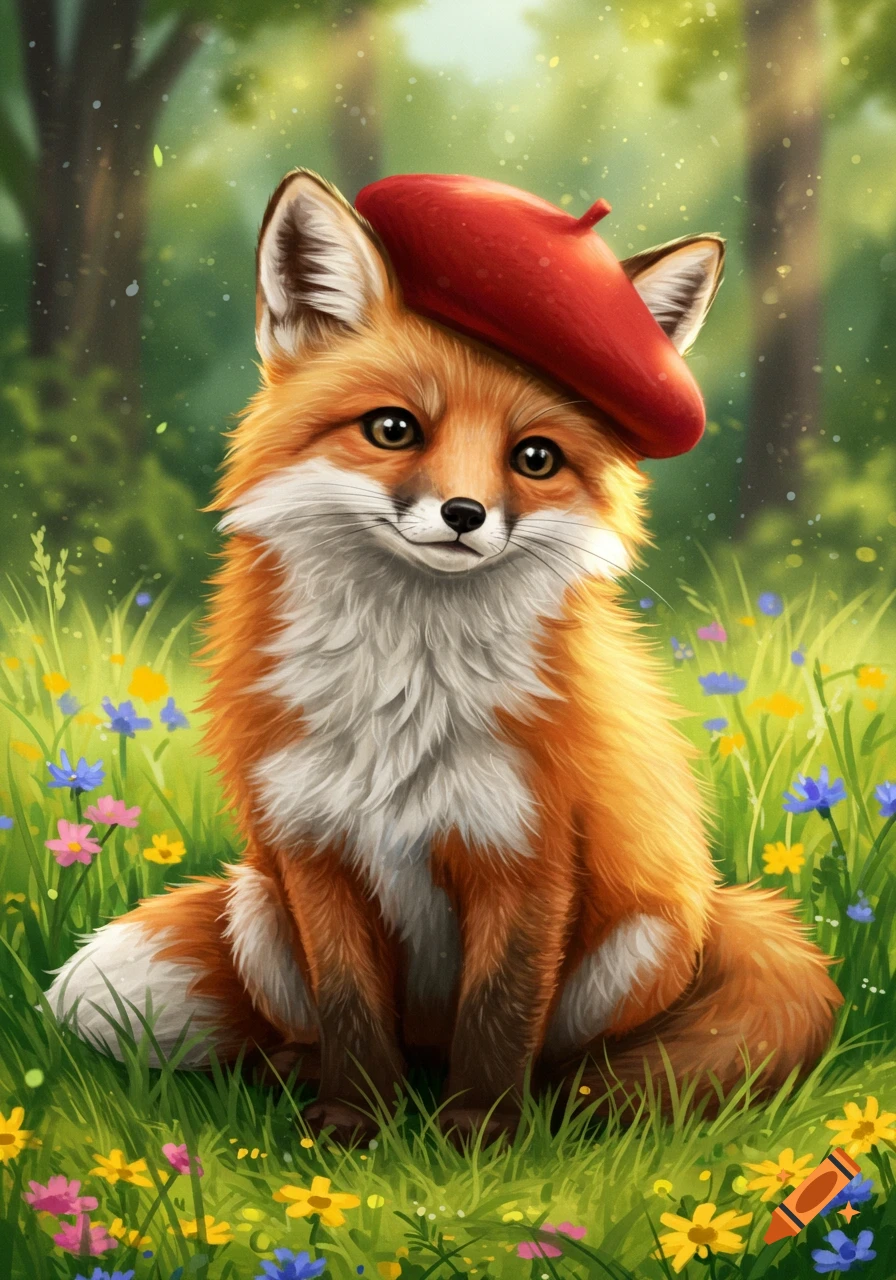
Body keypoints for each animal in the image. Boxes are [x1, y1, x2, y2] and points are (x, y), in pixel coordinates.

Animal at [47, 169, 841, 1144]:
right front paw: (354, 1123)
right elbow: (350, 1008)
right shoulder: (314, 851)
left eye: (534, 457)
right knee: (323, 1027)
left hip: (635, 942)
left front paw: (481, 1140)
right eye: (393, 429)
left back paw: (550, 1110)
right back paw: (297, 1078)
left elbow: (499, 1017)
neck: (405, 689)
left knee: (565, 1059)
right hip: (257, 907)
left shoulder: (527, 855)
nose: (465, 514)